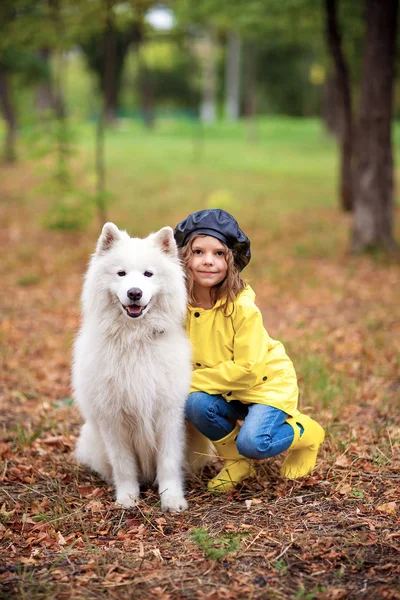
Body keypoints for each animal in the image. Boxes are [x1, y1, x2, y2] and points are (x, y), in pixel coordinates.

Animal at [72, 223, 205, 512]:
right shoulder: (112, 418)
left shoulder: (168, 414)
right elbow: (123, 465)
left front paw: (171, 498)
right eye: (121, 273)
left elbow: (168, 462)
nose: (135, 292)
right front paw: (127, 497)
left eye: (148, 274)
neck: (135, 340)